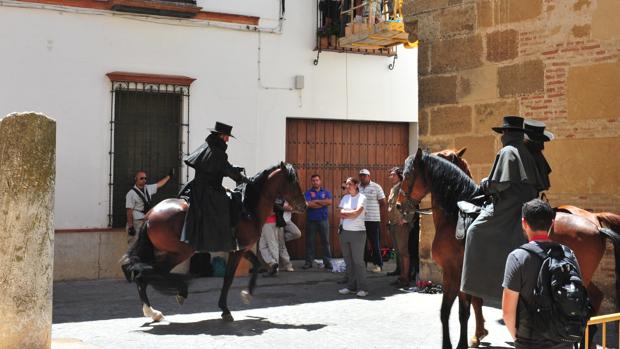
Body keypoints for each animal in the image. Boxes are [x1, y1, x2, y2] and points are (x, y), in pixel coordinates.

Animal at [120, 162, 306, 322]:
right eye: (293, 182)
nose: (303, 206)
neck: (248, 208)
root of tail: (150, 216)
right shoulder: (237, 251)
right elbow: (228, 278)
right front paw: (225, 310)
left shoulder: (241, 248)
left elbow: (256, 263)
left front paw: (247, 293)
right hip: (180, 252)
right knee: (149, 273)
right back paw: (163, 303)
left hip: (167, 251)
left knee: (147, 273)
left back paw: (157, 307)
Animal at [398, 148, 620, 348]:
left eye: (407, 175)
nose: (399, 205)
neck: (455, 215)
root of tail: (595, 225)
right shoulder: (455, 274)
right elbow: (448, 311)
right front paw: (475, 335)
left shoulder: (458, 272)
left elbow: (462, 311)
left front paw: (467, 340)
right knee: (595, 299)